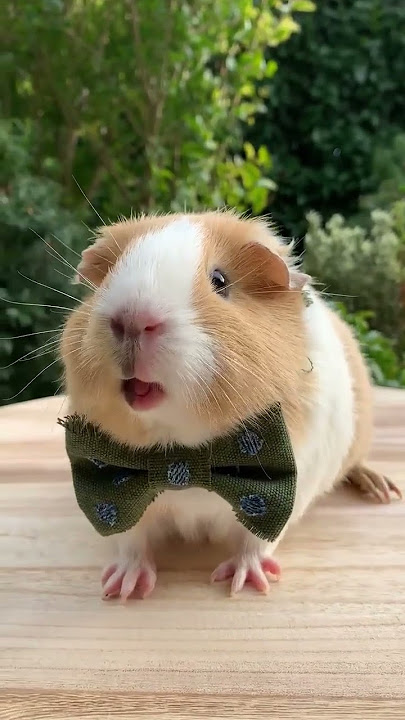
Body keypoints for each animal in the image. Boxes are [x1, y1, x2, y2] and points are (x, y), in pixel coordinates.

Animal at [61, 211, 401, 599]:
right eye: (110, 276)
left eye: (220, 281)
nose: (132, 318)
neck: (179, 454)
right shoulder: (115, 498)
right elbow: (131, 541)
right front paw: (122, 587)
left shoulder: (286, 493)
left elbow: (257, 542)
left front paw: (244, 581)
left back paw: (383, 490)